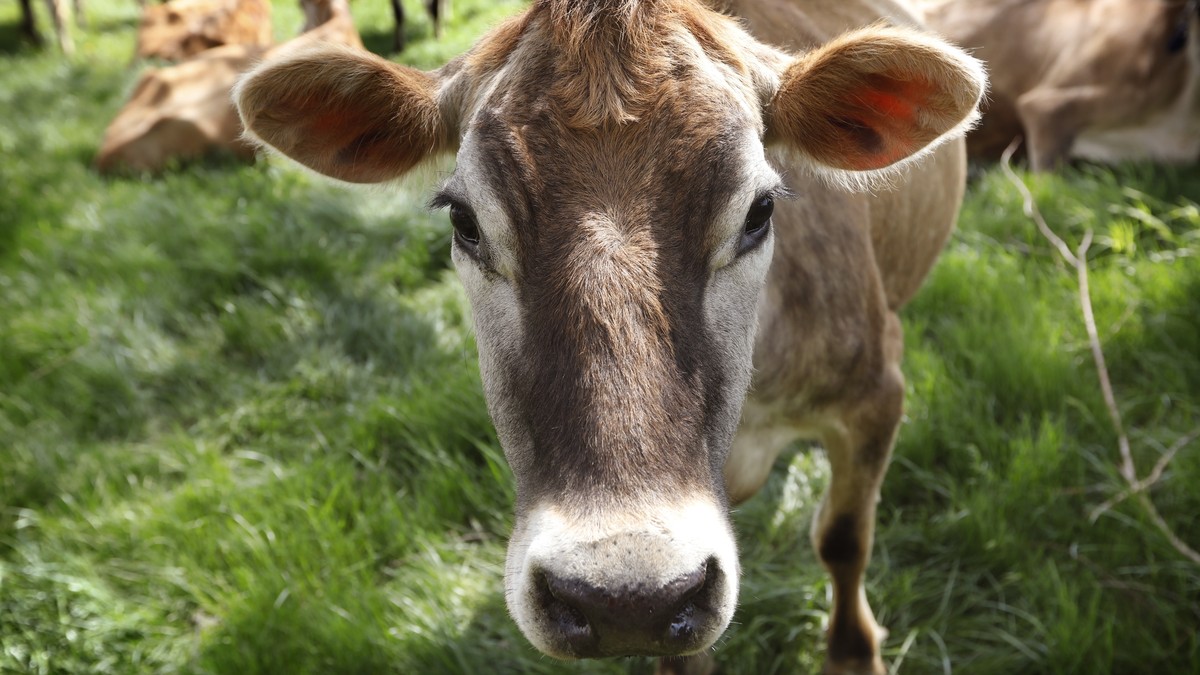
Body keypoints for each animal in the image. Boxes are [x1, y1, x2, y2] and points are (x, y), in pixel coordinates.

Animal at [234, 0, 986, 672]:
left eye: (759, 210)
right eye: (464, 221)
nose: (624, 598)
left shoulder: (877, 392)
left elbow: (843, 537)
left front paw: (854, 654)